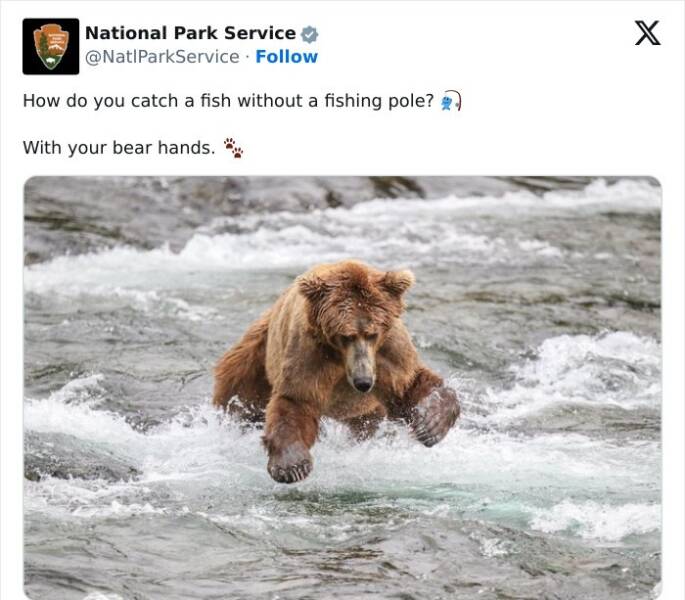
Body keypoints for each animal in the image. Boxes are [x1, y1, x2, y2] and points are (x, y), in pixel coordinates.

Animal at [213, 260, 460, 483]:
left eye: (373, 333)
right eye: (346, 335)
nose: (363, 382)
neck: (340, 358)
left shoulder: (389, 355)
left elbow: (408, 385)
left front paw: (431, 424)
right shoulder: (309, 355)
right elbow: (296, 400)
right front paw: (292, 466)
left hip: (366, 411)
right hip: (258, 355)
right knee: (239, 392)